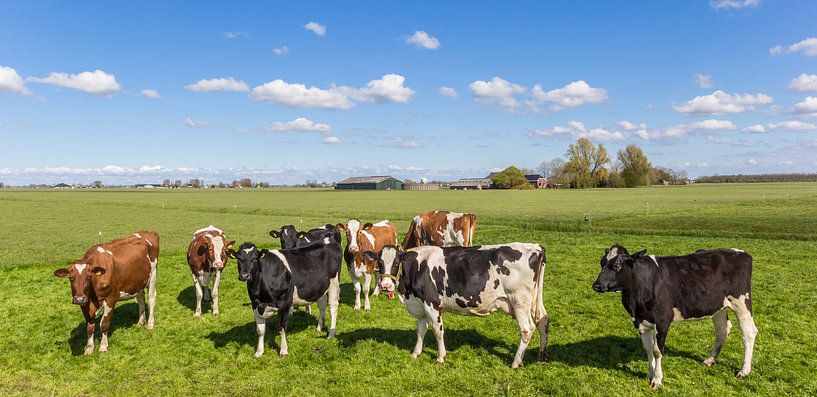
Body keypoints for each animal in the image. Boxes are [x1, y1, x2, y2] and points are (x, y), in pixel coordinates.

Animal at [368, 241, 548, 368]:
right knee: (543, 320)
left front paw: (441, 357)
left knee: (526, 329)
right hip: (534, 300)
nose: (385, 286)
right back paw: (542, 357)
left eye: (396, 262)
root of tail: (535, 247)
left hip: (519, 301)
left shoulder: (432, 303)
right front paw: (416, 353)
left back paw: (516, 362)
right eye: (380, 262)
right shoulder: (420, 305)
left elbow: (437, 330)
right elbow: (421, 331)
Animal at [588, 243, 756, 388]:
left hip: (741, 303)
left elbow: (657, 351)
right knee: (722, 330)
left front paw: (657, 379)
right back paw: (710, 359)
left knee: (748, 333)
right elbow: (648, 349)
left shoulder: (662, 320)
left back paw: (744, 370)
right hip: (718, 306)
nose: (597, 285)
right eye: (602, 263)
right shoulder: (640, 321)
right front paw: (650, 373)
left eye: (617, 265)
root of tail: (740, 252)